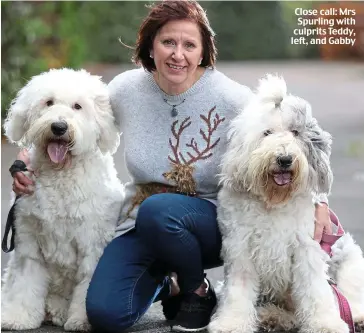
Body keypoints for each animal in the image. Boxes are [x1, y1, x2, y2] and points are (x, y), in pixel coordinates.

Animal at [1, 68, 124, 330]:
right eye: (48, 102)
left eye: (78, 106)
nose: (58, 126)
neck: (61, 173)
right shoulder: (29, 241)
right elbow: (26, 283)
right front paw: (19, 317)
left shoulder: (92, 244)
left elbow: (86, 283)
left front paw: (81, 320)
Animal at [209, 74, 364, 332]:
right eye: (267, 132)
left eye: (295, 132)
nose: (284, 159)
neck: (273, 201)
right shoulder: (240, 249)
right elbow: (238, 290)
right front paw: (231, 323)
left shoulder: (307, 247)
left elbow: (314, 289)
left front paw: (325, 324)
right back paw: (272, 317)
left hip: (349, 259)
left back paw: (357, 317)